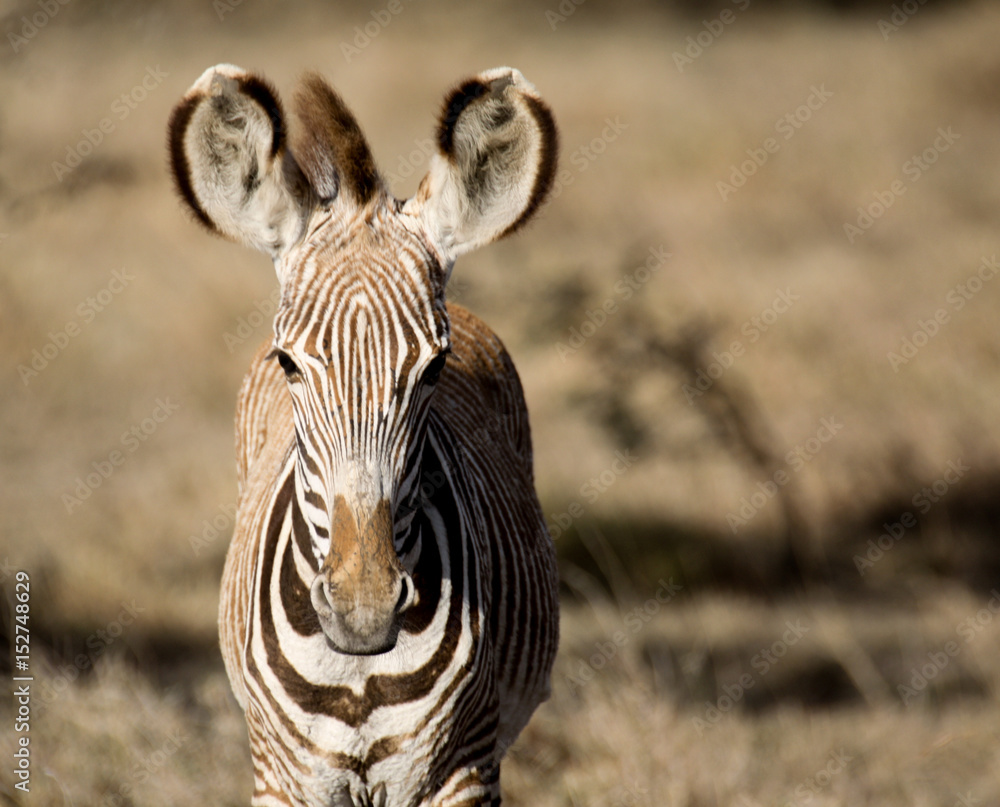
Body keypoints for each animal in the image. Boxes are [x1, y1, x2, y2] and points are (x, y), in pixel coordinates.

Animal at [168, 63, 560, 806]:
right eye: (288, 363)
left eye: (434, 368)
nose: (364, 610)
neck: (356, 673)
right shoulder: (283, 778)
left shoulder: (463, 770)